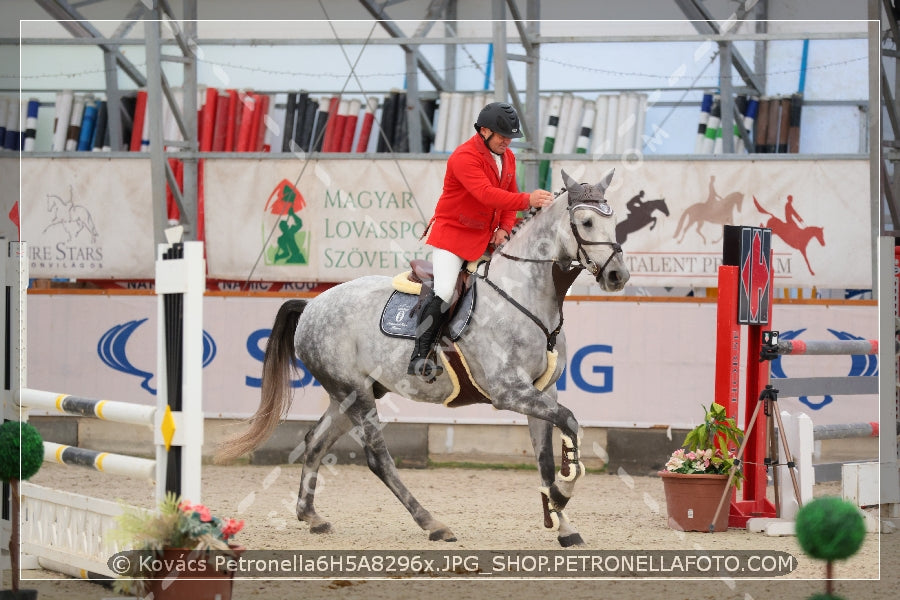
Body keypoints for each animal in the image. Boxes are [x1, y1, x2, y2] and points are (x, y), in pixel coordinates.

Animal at [216, 169, 624, 548]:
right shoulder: (509, 392)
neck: (525, 295)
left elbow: (546, 459)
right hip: (356, 395)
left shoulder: (542, 393)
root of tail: (313, 304)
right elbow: (570, 422)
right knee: (378, 460)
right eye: (586, 223)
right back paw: (432, 524)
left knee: (315, 440)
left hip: (349, 395)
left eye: (613, 218)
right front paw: (562, 494)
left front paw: (564, 524)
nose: (618, 275)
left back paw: (311, 515)